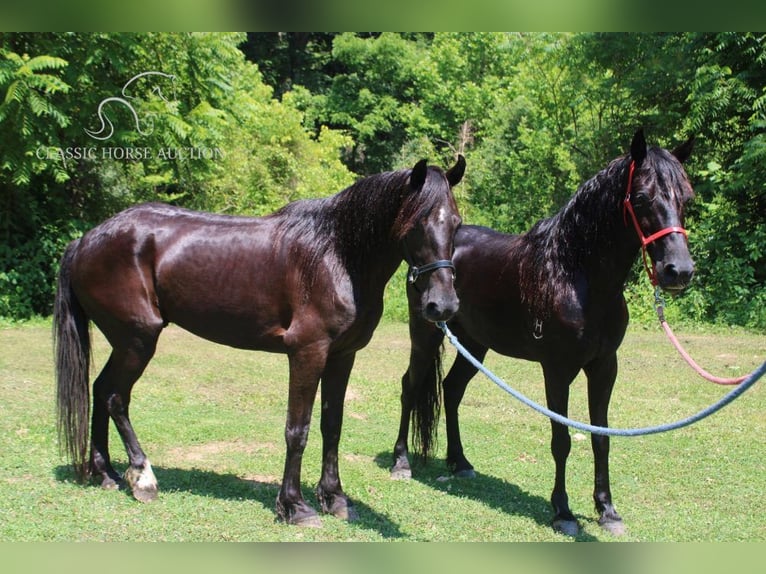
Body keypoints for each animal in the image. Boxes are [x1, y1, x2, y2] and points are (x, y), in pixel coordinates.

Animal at [54, 158, 464, 528]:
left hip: (125, 342)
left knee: (100, 389)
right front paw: (294, 507)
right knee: (115, 397)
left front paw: (334, 499)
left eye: (456, 224)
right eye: (417, 223)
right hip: (137, 340)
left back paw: (106, 474)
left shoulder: (342, 356)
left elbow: (332, 425)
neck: (336, 255)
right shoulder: (307, 352)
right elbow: (297, 430)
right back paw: (142, 478)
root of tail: (85, 240)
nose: (442, 305)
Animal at [392, 132, 700, 540]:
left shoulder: (605, 367)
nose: (678, 271)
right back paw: (401, 462)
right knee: (410, 385)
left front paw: (607, 511)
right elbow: (562, 439)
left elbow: (600, 437)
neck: (575, 275)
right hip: (425, 335)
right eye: (642, 197)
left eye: (686, 198)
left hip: (474, 344)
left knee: (452, 389)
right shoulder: (557, 370)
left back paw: (460, 463)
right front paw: (563, 512)